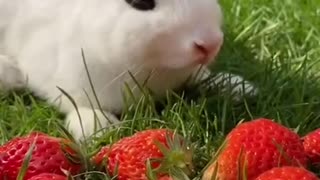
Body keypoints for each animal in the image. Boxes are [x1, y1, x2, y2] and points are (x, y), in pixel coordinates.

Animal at [0, 0, 255, 141]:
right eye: (140, 2)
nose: (210, 44)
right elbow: (79, 105)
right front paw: (100, 129)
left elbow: (202, 78)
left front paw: (237, 86)